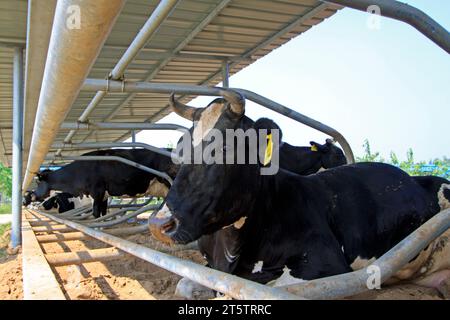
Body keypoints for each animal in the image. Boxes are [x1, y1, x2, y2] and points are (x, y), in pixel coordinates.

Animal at [34, 149, 178, 219]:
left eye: (38, 182)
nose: (31, 195)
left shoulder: (97, 191)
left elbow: (95, 212)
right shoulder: (103, 195)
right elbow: (103, 212)